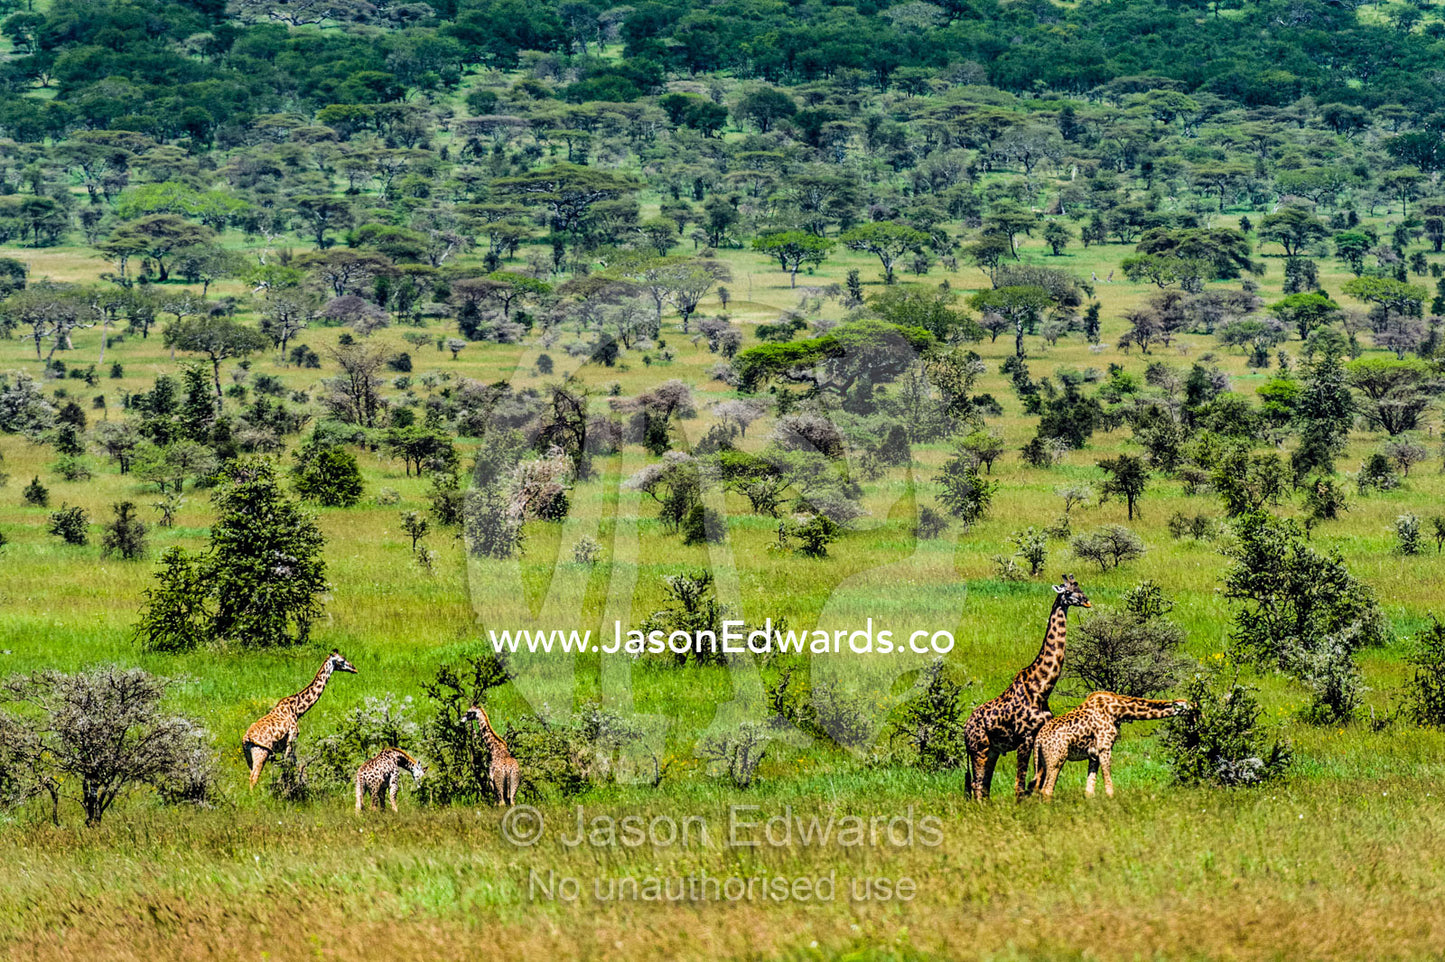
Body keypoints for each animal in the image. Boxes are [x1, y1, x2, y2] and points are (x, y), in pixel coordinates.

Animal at [241, 649, 358, 789]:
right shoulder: (292, 738)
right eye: (342, 660)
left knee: (251, 775)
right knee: (254, 778)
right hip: (261, 752)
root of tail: (247, 738)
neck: (297, 709)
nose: (354, 668)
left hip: (248, 756)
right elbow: (289, 765)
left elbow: (298, 766)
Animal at [964, 575, 1091, 800]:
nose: (1086, 601)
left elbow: (1036, 781)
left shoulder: (1038, 735)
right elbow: (1020, 785)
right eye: (1068, 592)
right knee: (977, 786)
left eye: (1080, 588)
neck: (1041, 688)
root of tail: (964, 730)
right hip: (979, 749)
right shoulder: (1025, 737)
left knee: (984, 786)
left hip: (992, 751)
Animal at [1032, 692, 1192, 799]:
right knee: (1047, 790)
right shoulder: (1105, 748)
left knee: (1036, 788)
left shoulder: (1093, 754)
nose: (1196, 708)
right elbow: (1109, 786)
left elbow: (1089, 790)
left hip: (1042, 762)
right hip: (1057, 759)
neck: (1118, 710)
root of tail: (1038, 740)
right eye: (1188, 705)